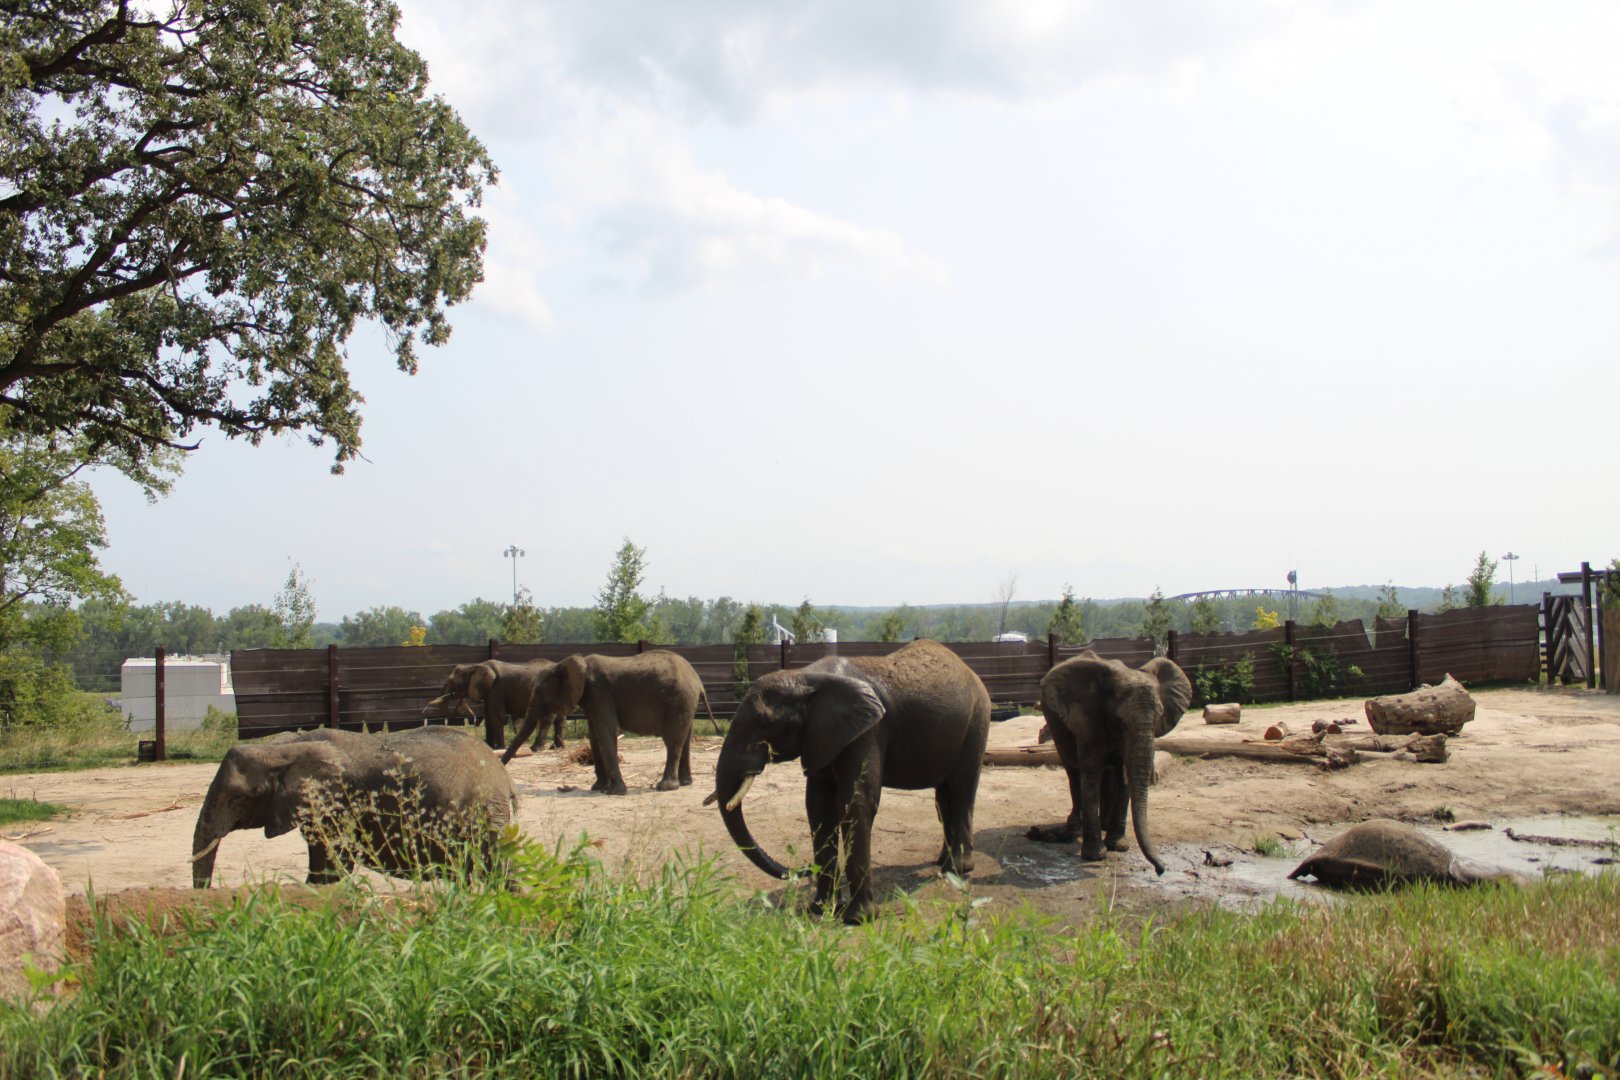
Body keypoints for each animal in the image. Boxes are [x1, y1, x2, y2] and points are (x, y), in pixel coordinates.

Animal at [191, 726, 517, 888]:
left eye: (239, 798)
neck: (282, 746)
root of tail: (503, 775)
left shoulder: (337, 803)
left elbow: (333, 864)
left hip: (484, 813)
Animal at [422, 658, 559, 751]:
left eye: (452, 682)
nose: (424, 711)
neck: (474, 666)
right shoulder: (489, 691)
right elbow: (488, 715)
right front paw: (489, 747)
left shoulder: (496, 687)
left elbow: (496, 715)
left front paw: (499, 748)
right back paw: (555, 747)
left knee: (547, 718)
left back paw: (536, 748)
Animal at [503, 650, 715, 793]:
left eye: (540, 691)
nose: (503, 767)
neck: (568, 663)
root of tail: (698, 681)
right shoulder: (592, 699)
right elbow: (594, 736)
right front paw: (597, 788)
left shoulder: (599, 692)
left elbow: (606, 731)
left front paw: (615, 792)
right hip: (686, 704)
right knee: (685, 740)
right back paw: (686, 783)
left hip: (677, 701)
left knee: (673, 741)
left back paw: (665, 787)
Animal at [704, 638, 991, 924]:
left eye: (765, 722)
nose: (803, 869)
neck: (806, 677)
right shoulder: (820, 736)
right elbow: (818, 806)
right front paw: (819, 910)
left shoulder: (869, 731)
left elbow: (856, 801)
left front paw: (858, 918)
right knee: (943, 797)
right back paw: (942, 862)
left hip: (977, 721)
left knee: (962, 788)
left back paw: (957, 869)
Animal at [1026, 651, 1191, 875]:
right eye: (1119, 719)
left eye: (1160, 716)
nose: (1160, 870)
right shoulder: (1087, 719)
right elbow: (1091, 771)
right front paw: (1095, 856)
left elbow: (1124, 773)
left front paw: (1118, 846)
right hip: (1054, 721)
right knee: (1073, 770)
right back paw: (1075, 826)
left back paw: (1103, 824)